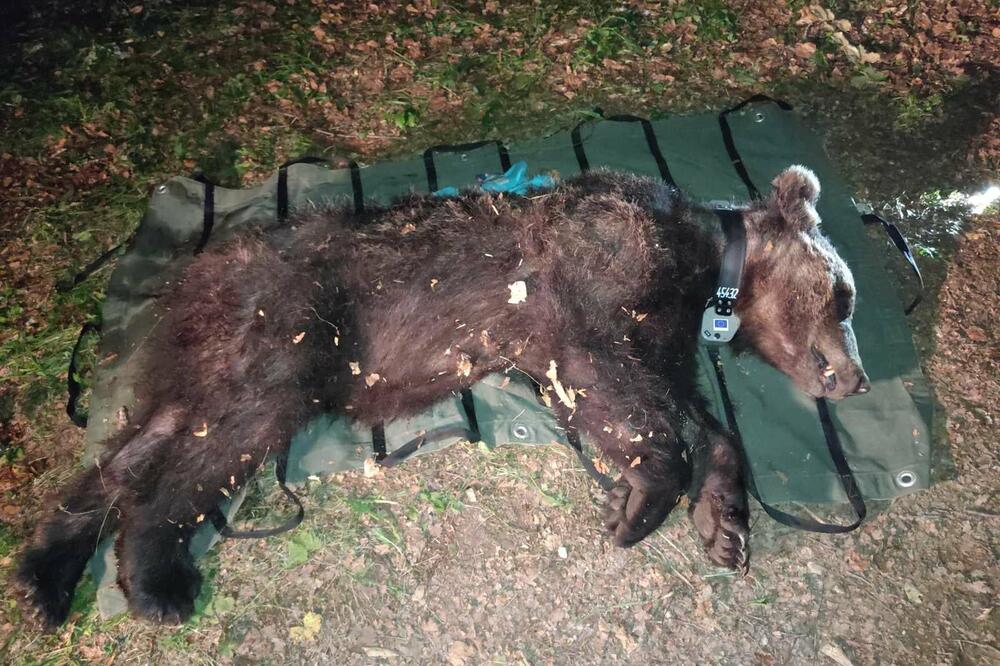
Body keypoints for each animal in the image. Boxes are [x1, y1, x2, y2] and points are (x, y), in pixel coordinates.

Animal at [16, 166, 869, 627]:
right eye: (845, 296)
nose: (857, 376)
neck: (703, 275)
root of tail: (202, 272)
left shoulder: (644, 336)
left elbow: (691, 413)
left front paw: (724, 525)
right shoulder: (595, 280)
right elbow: (612, 384)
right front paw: (640, 502)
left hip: (214, 355)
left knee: (142, 442)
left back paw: (47, 572)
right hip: (285, 333)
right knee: (213, 444)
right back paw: (158, 575)